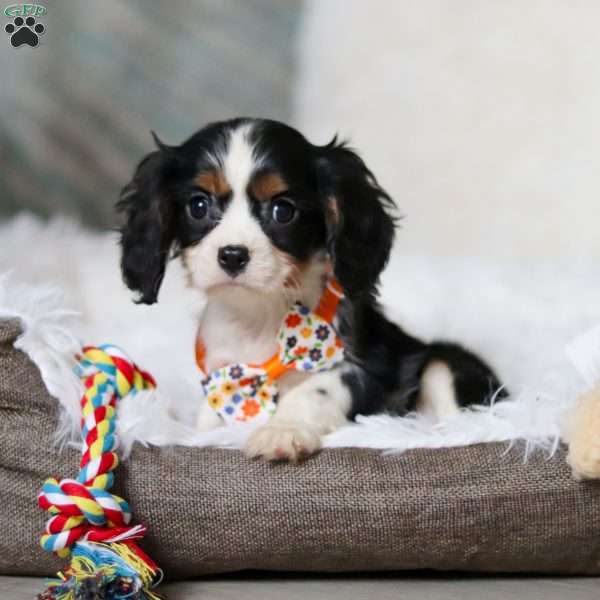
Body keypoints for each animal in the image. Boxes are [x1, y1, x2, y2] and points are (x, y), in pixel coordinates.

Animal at [116, 119, 502, 462]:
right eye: (198, 205)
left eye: (283, 210)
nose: (233, 255)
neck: (258, 314)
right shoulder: (221, 379)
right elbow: (210, 419)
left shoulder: (361, 368)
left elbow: (313, 391)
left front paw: (281, 431)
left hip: (445, 364)